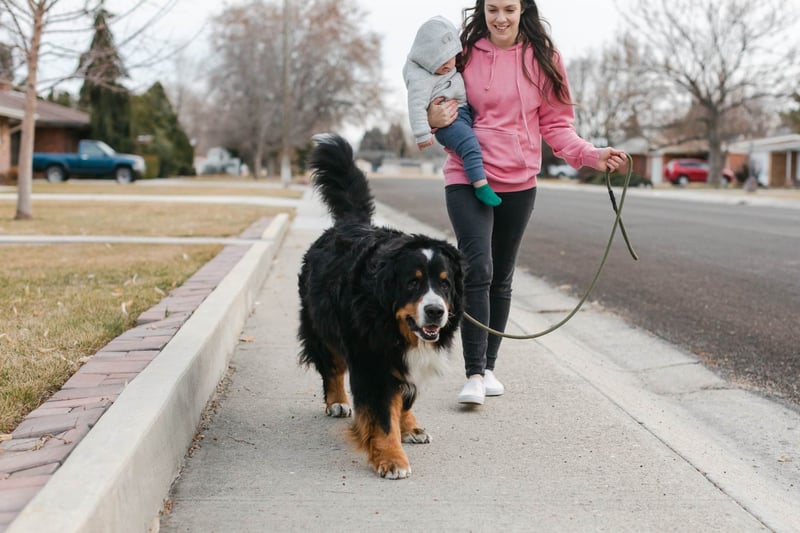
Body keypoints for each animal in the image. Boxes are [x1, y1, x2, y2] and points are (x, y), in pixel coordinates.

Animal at [298, 133, 462, 478]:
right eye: (412, 283)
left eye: (445, 283)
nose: (436, 311)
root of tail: (349, 224)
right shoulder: (371, 360)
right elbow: (383, 417)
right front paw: (391, 458)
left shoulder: (403, 361)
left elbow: (404, 398)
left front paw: (408, 427)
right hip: (321, 324)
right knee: (332, 365)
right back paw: (337, 401)